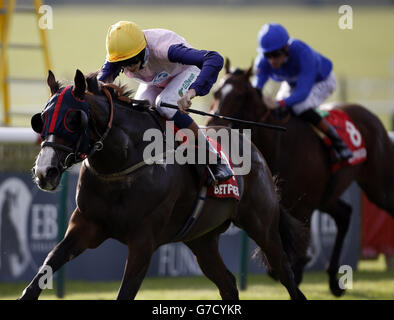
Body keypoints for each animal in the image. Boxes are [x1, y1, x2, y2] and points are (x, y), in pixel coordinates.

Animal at [18, 69, 306, 300]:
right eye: (42, 118)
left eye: (73, 119)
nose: (44, 171)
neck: (121, 166)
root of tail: (255, 151)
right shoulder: (85, 226)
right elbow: (42, 273)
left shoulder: (143, 241)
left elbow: (125, 292)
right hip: (202, 239)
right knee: (228, 283)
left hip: (263, 227)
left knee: (287, 276)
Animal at [206, 58, 394, 296]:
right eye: (216, 92)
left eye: (240, 95)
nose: (212, 127)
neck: (278, 144)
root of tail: (371, 115)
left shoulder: (303, 207)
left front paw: (299, 268)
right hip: (326, 196)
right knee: (344, 214)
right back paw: (333, 280)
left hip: (379, 187)